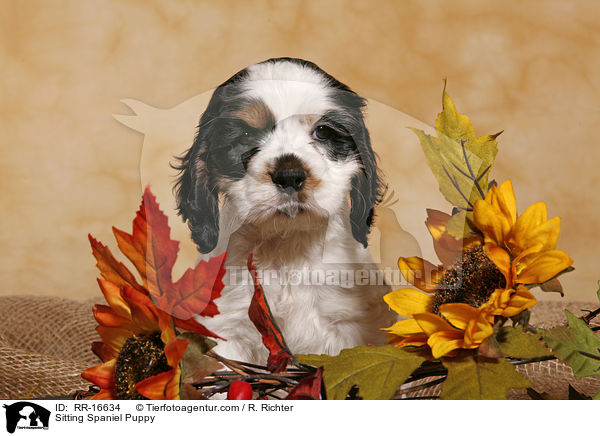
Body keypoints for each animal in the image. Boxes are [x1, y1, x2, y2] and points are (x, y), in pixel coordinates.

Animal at [175, 58, 398, 364]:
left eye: (323, 132)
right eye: (246, 135)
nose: (289, 174)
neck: (285, 245)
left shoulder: (348, 326)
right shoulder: (226, 330)